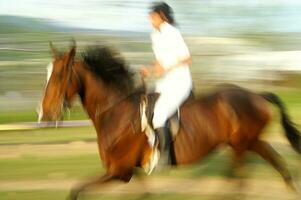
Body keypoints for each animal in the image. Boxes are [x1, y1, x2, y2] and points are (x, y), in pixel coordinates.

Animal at [39, 41, 300, 199]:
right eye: (48, 73)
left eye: (60, 75)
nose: (45, 113)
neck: (117, 112)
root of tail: (256, 95)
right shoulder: (130, 172)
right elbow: (144, 193)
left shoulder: (119, 171)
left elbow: (77, 189)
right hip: (249, 142)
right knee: (275, 162)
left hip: (240, 145)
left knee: (240, 179)